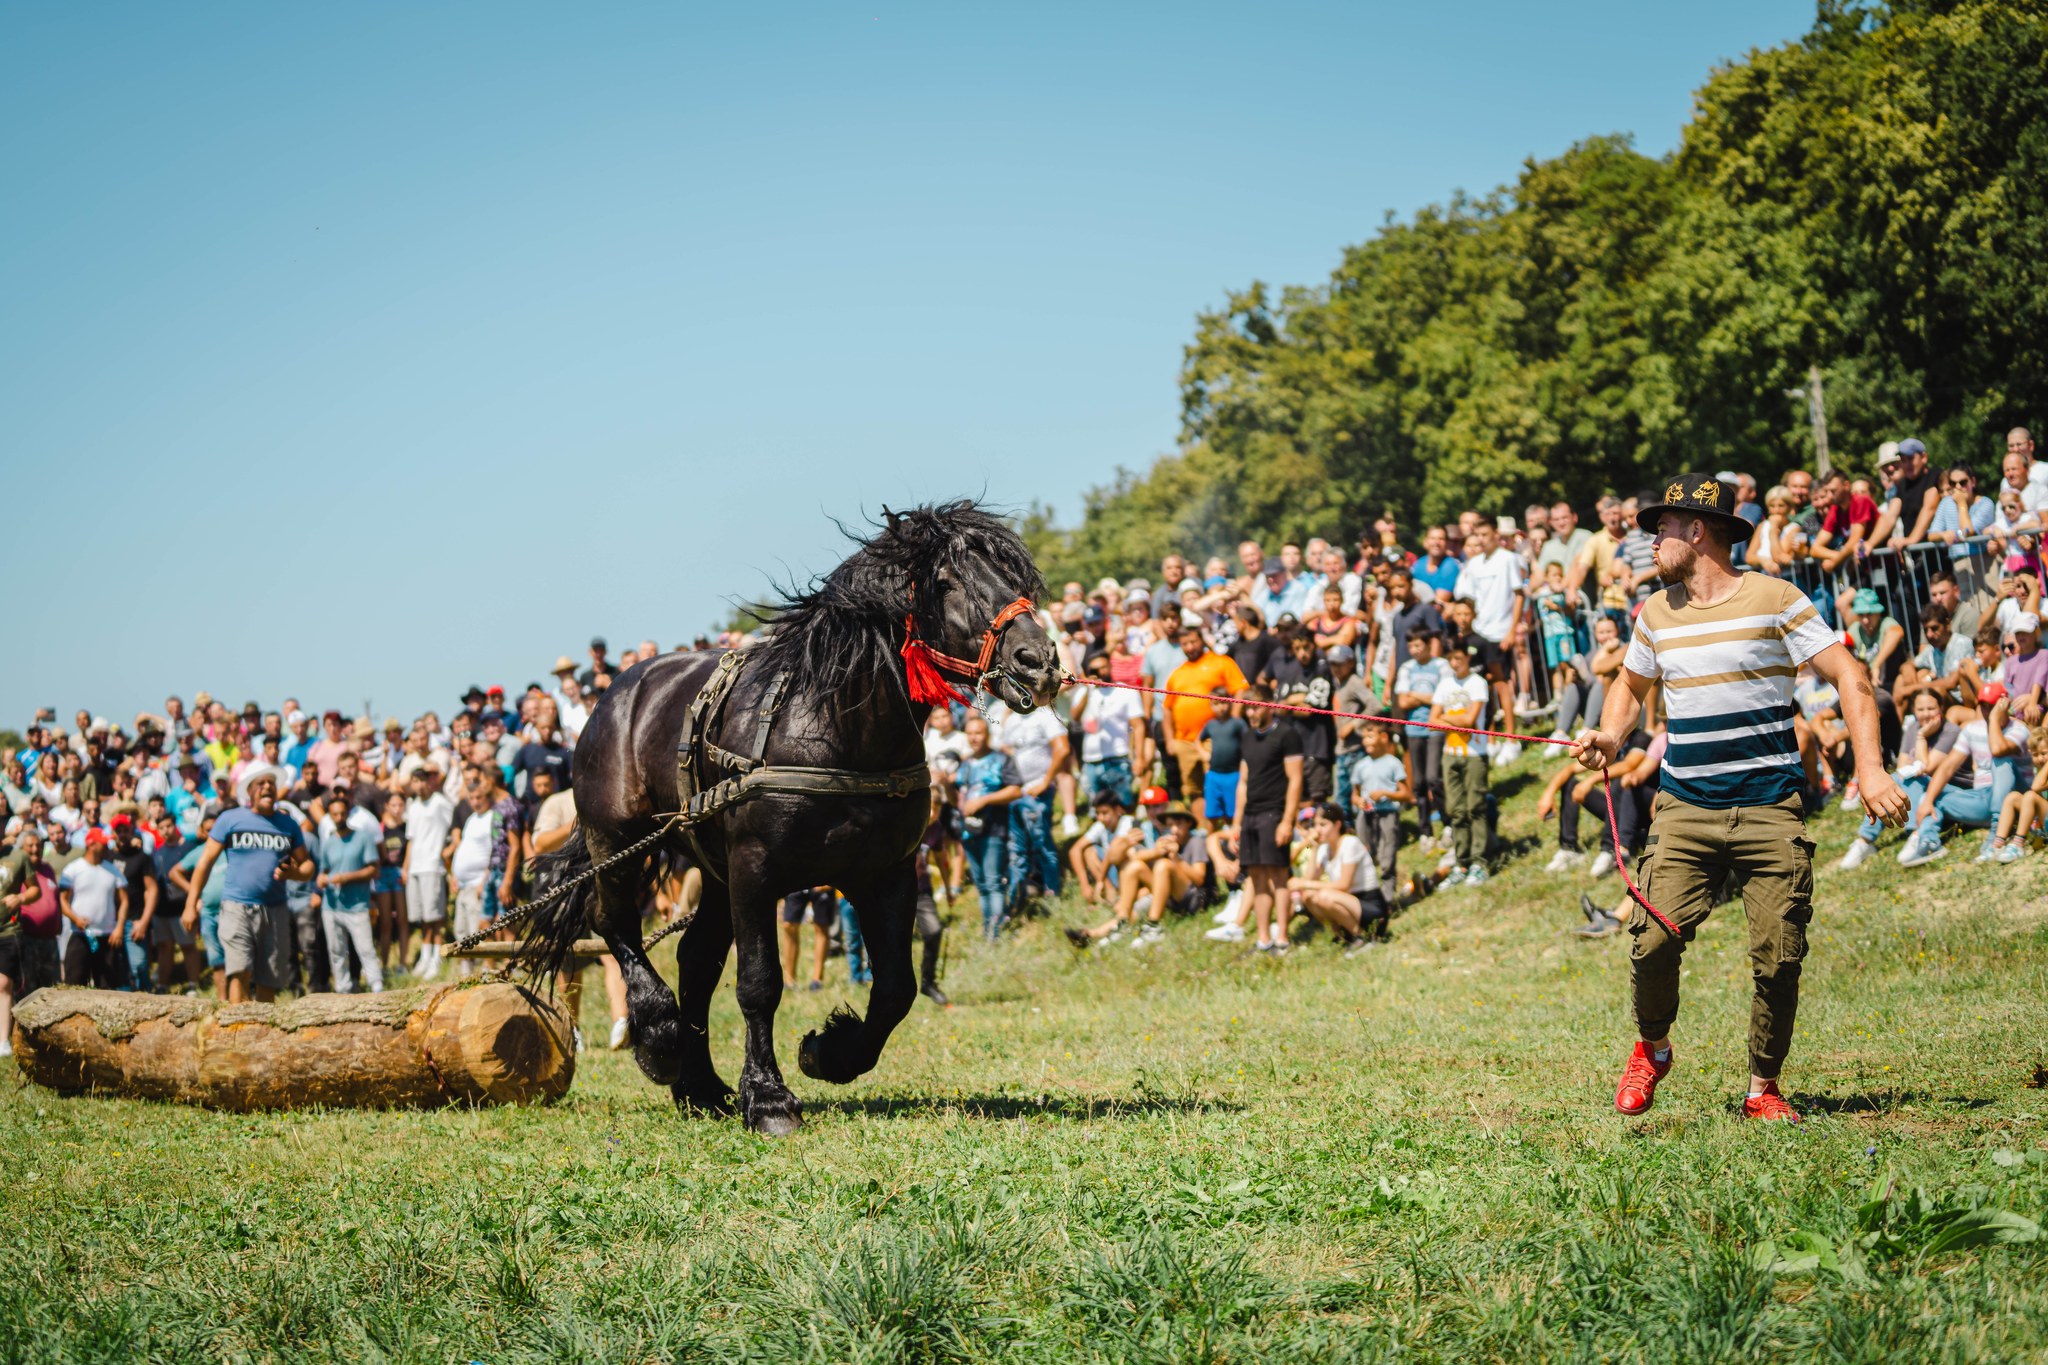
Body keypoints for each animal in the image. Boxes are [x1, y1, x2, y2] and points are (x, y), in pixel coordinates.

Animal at [520, 499, 1056, 1129]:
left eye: (1013, 579)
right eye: (946, 583)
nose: (1038, 661)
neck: (836, 731)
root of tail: (615, 691)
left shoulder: (886, 874)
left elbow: (895, 988)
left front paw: (831, 1052)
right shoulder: (756, 870)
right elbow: (759, 984)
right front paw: (770, 1098)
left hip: (714, 871)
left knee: (694, 957)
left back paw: (700, 1087)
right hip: (618, 844)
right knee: (615, 925)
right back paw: (660, 1039)